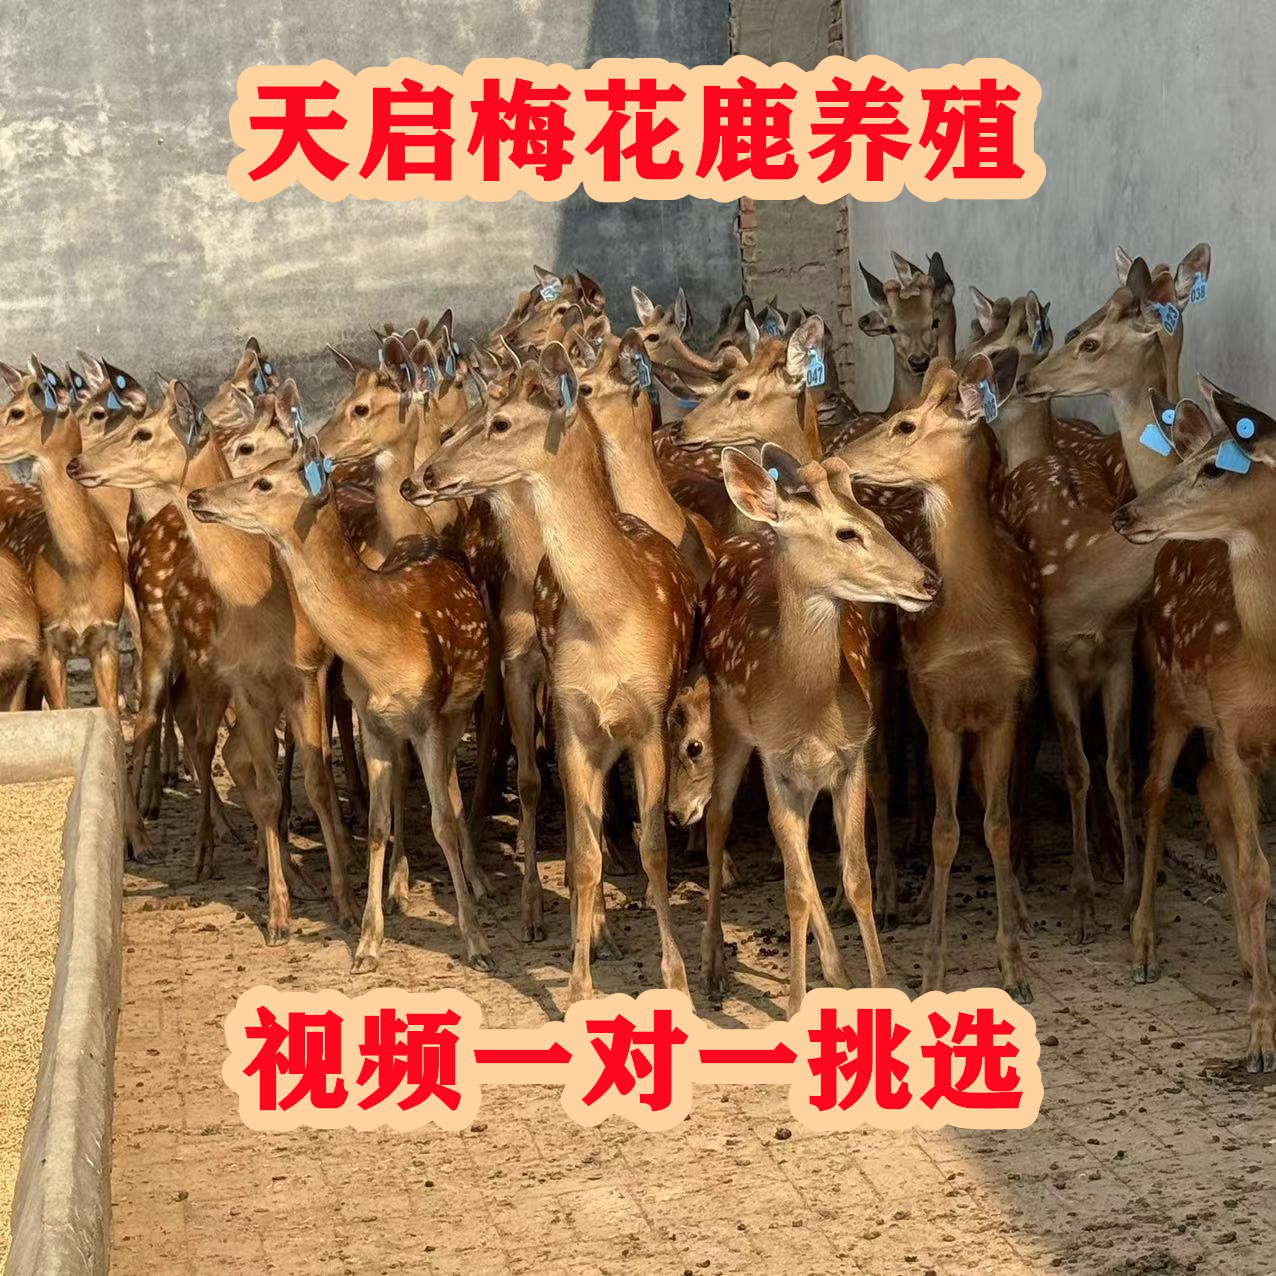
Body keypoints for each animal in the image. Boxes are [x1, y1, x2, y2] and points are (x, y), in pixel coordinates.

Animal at [67, 378, 357, 945]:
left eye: (141, 431)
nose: (75, 462)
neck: (264, 602)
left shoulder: (307, 674)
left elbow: (315, 780)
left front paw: (340, 900)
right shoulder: (244, 683)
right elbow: (266, 789)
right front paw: (278, 914)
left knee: (220, 748)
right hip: (162, 643)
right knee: (159, 727)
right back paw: (175, 845)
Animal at [404, 343, 699, 1003]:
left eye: (500, 423)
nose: (424, 476)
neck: (611, 620)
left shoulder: (650, 718)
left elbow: (654, 847)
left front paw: (678, 981)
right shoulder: (568, 710)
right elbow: (582, 849)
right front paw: (577, 985)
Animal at [701, 444, 936, 1013]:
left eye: (879, 521)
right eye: (846, 533)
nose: (927, 581)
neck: (807, 713)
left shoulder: (851, 756)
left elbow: (855, 877)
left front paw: (879, 984)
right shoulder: (775, 763)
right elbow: (794, 890)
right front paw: (793, 1003)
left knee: (804, 852)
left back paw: (838, 971)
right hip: (727, 720)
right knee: (719, 821)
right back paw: (713, 965)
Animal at [840, 352, 1040, 1000]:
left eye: (906, 424)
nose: (840, 457)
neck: (973, 625)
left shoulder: (1005, 704)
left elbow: (997, 824)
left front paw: (1014, 965)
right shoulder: (939, 708)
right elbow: (944, 832)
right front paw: (932, 967)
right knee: (927, 800)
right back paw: (919, 892)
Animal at [1008, 249, 1209, 939]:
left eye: (1091, 341)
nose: (1026, 378)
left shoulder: (1122, 651)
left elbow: (1119, 769)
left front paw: (1125, 895)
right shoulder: (1053, 652)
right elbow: (1075, 767)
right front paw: (1081, 899)